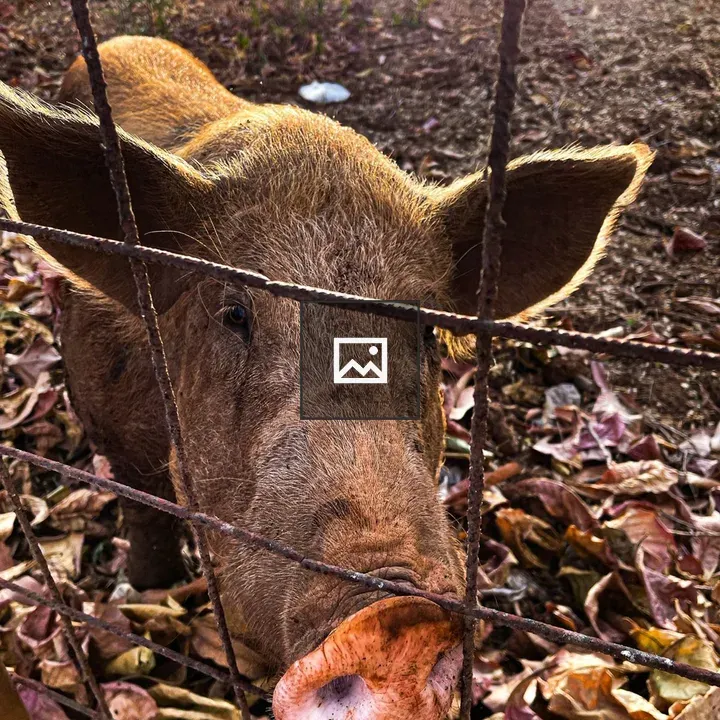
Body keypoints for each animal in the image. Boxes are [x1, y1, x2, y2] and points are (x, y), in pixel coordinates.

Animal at [0, 35, 652, 719]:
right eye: (235, 313)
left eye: (425, 331)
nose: (398, 615)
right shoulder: (110, 425)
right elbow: (144, 514)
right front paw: (149, 587)